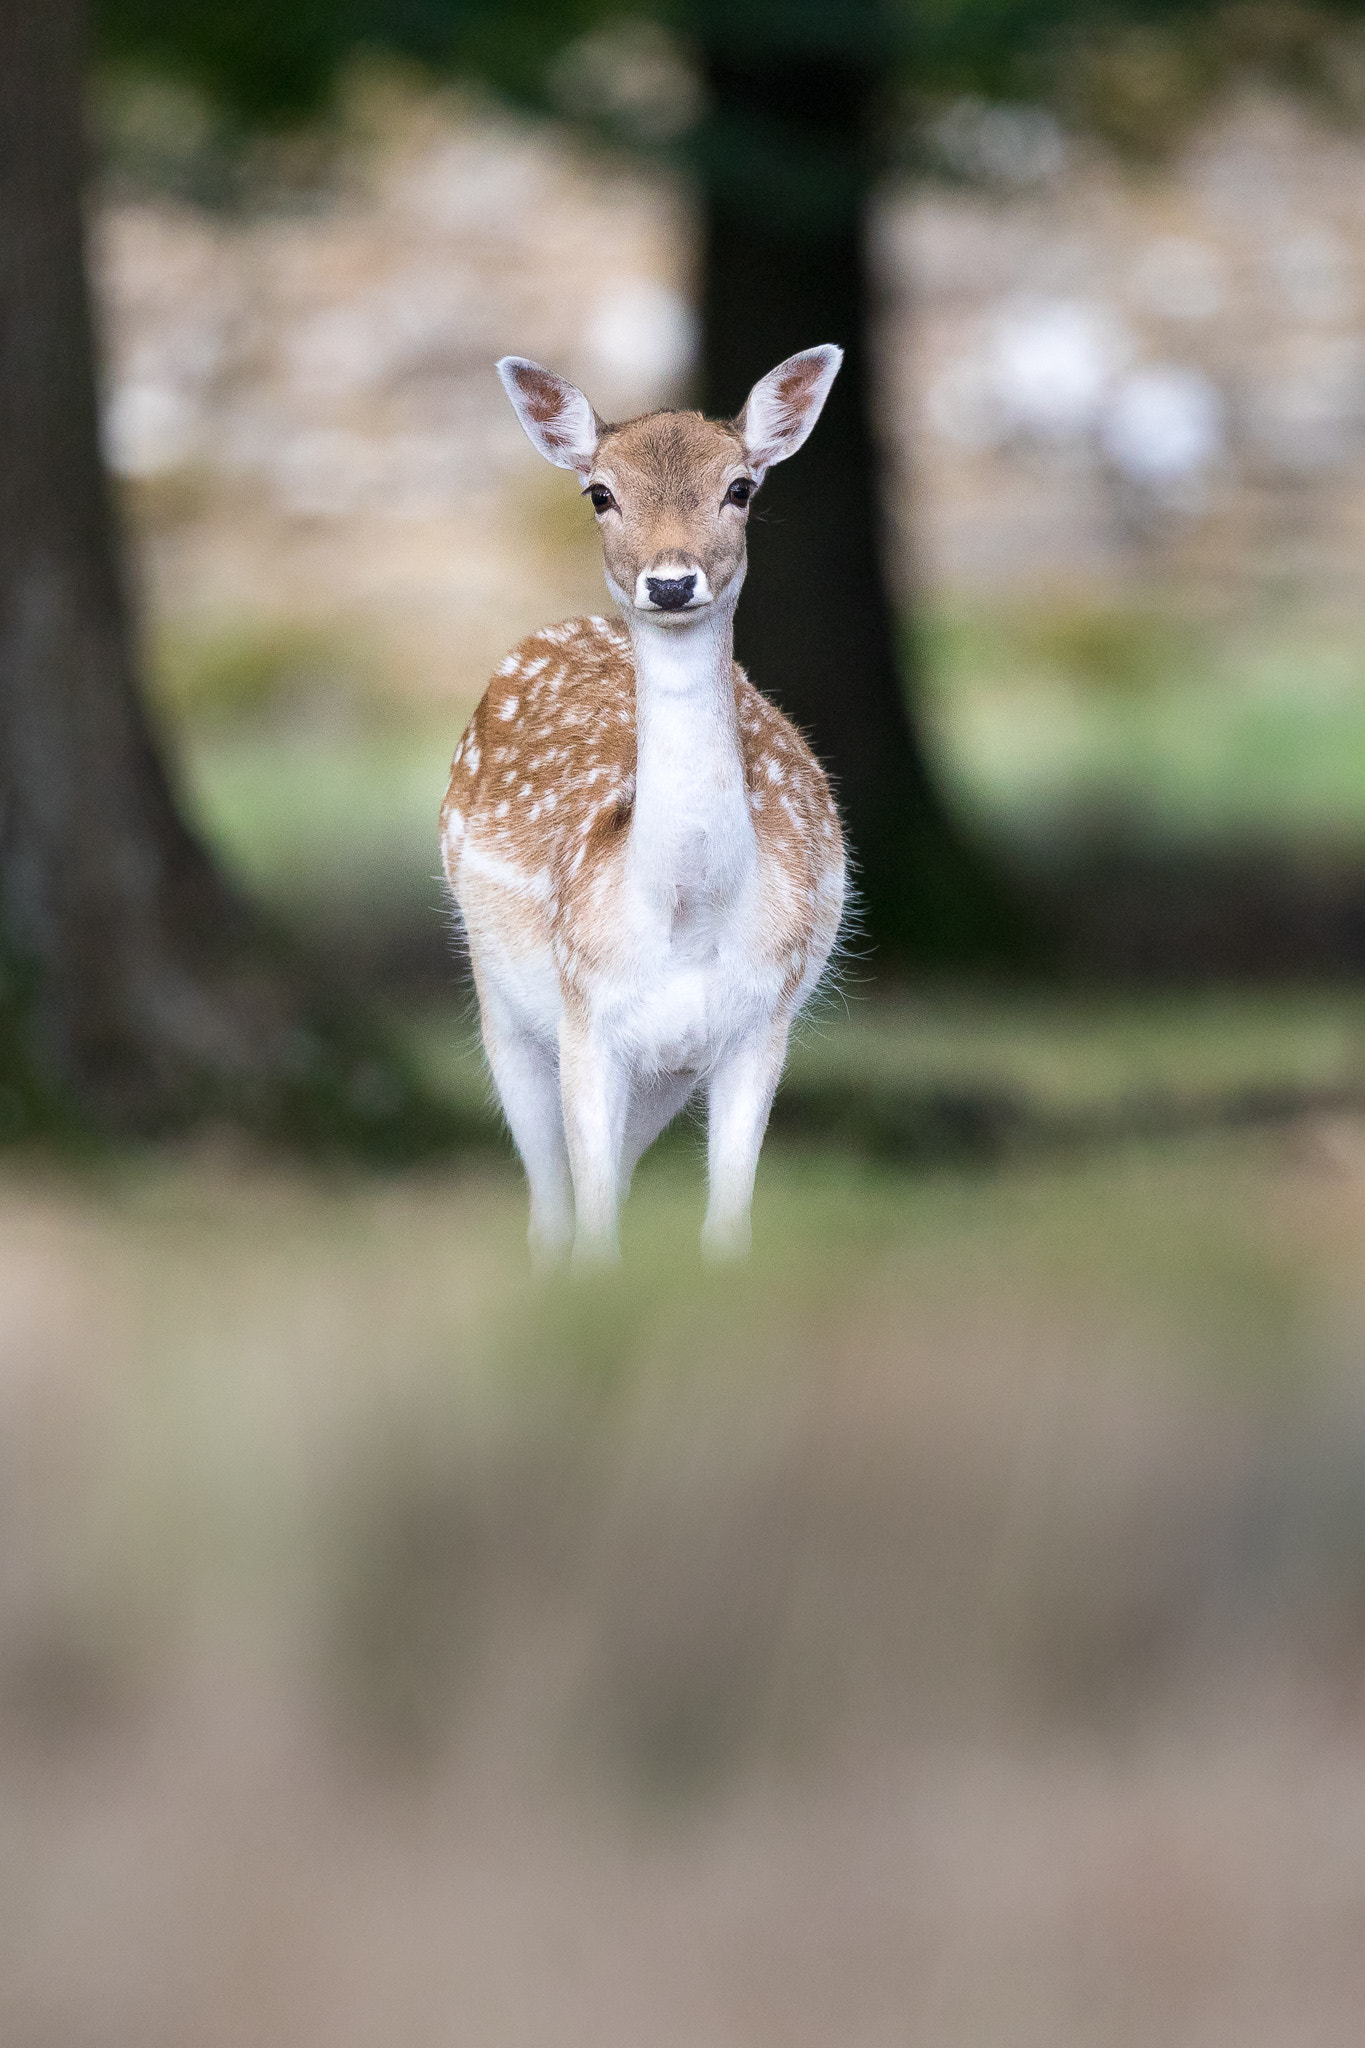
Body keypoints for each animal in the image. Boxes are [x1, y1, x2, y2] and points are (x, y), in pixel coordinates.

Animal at [439, 352, 843, 1261]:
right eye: (599, 492)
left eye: (740, 487)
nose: (669, 581)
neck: (685, 917)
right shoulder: (585, 1012)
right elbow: (595, 1230)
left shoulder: (758, 1024)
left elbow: (725, 1226)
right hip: (499, 1000)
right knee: (550, 1207)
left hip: (668, 1072)